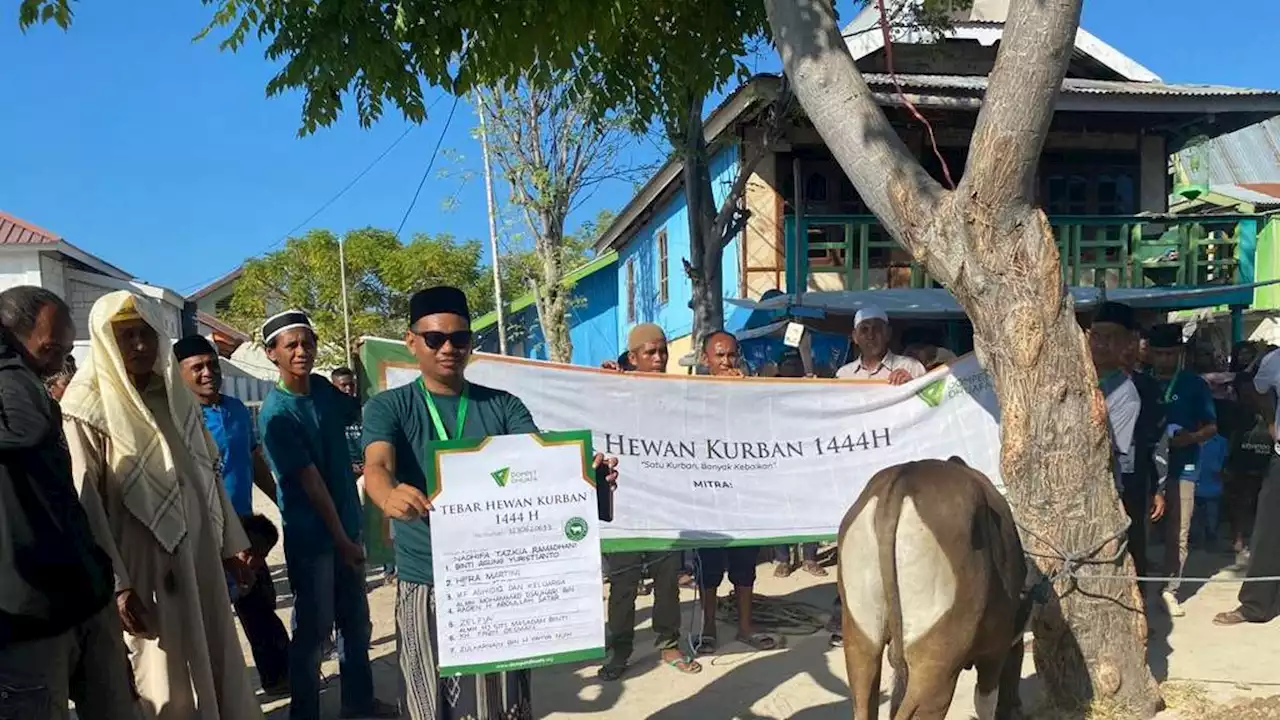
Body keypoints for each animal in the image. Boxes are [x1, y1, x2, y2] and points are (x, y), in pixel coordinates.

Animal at [839, 456, 1029, 712]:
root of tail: (904, 479)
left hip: (860, 639)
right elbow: (985, 703)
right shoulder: (995, 652)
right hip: (937, 663)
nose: (1018, 704)